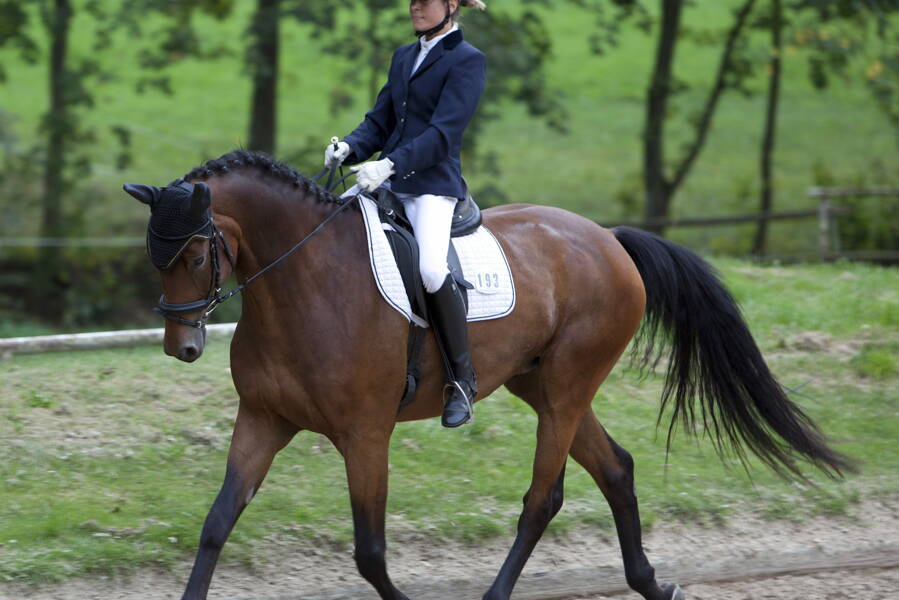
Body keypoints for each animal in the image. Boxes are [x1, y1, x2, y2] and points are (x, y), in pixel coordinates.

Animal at [125, 150, 852, 600]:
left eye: (195, 253)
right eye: (155, 255)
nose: (181, 347)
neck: (303, 284)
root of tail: (609, 239)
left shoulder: (365, 436)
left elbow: (369, 551)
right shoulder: (263, 420)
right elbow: (217, 523)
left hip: (566, 388)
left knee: (543, 498)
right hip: (544, 384)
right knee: (615, 469)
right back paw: (650, 582)